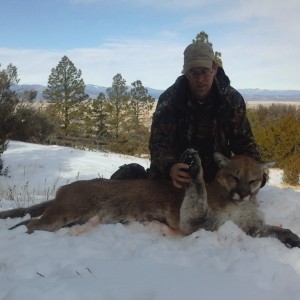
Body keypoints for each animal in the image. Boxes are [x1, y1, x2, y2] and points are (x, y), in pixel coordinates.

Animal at [0, 149, 300, 248]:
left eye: (253, 180)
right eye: (235, 177)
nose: (244, 193)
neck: (237, 205)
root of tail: (64, 188)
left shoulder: (250, 227)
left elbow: (274, 230)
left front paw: (292, 239)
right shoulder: (195, 223)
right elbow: (198, 193)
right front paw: (194, 167)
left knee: (32, 220)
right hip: (68, 212)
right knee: (33, 224)